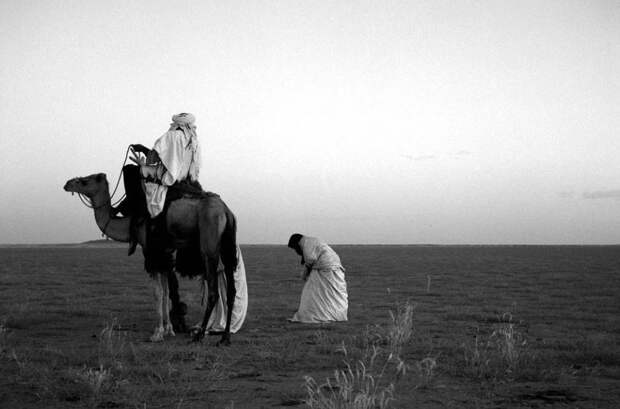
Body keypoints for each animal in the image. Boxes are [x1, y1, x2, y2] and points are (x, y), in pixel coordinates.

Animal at [63, 172, 237, 344]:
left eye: (84, 181)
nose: (67, 184)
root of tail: (226, 211)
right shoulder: (165, 255)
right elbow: (166, 292)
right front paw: (169, 330)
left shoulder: (151, 252)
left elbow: (158, 292)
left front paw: (157, 333)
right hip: (227, 245)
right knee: (231, 290)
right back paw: (225, 337)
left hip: (209, 244)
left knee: (213, 291)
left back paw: (199, 335)